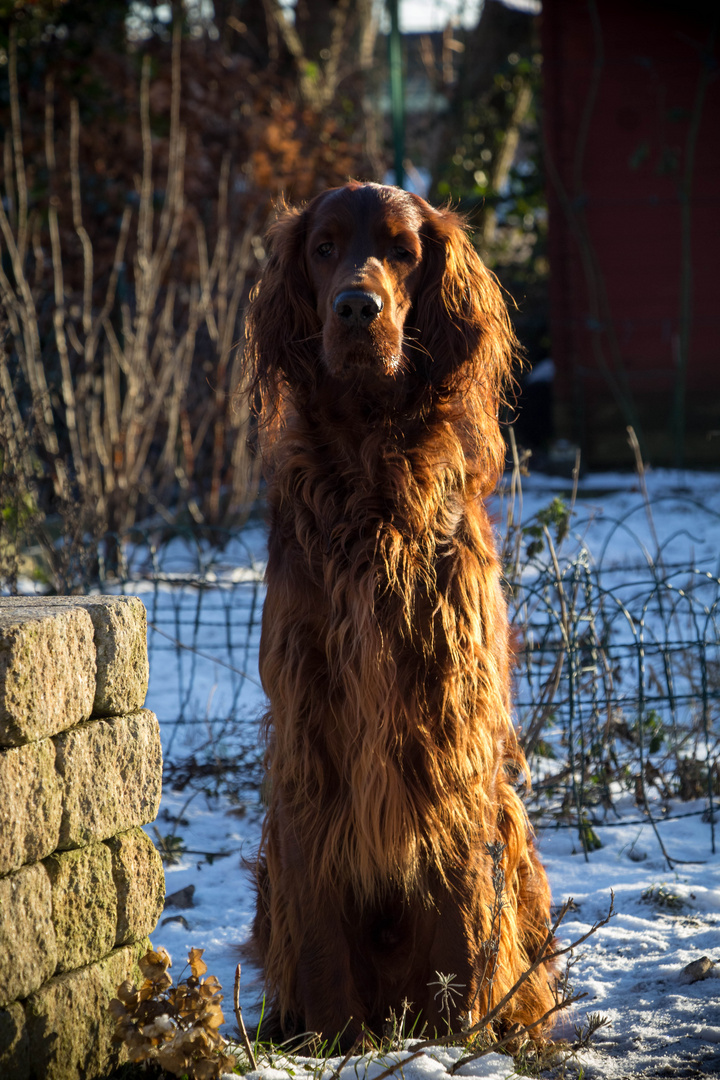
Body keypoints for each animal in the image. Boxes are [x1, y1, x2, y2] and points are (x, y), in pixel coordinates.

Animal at [245, 183, 557, 1045]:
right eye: (323, 247)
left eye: (404, 250)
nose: (357, 307)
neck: (371, 478)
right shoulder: (310, 727)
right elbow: (321, 928)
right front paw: (334, 1042)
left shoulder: (450, 716)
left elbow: (459, 915)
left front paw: (456, 1042)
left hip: (512, 824)